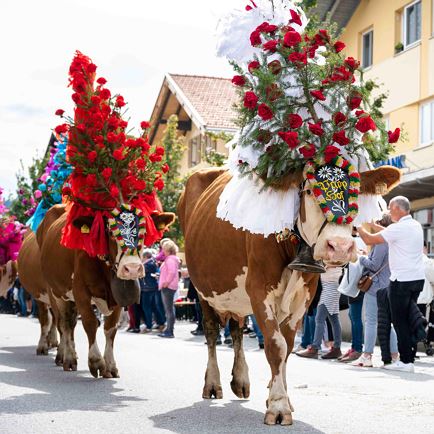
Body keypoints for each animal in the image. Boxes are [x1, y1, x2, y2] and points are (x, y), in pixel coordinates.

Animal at [36, 203, 173, 376]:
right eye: (111, 233)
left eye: (144, 232)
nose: (132, 269)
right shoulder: (80, 291)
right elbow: (90, 322)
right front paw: (95, 361)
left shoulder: (119, 297)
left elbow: (110, 328)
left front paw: (110, 365)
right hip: (57, 293)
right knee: (64, 324)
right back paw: (67, 358)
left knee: (71, 323)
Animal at [179, 167, 400, 428]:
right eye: (309, 191)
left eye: (354, 191)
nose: (341, 246)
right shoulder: (259, 290)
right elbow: (276, 347)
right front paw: (278, 406)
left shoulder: (305, 297)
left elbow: (288, 347)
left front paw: (281, 397)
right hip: (202, 289)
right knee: (212, 331)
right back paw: (213, 384)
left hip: (236, 298)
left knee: (236, 330)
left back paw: (241, 381)